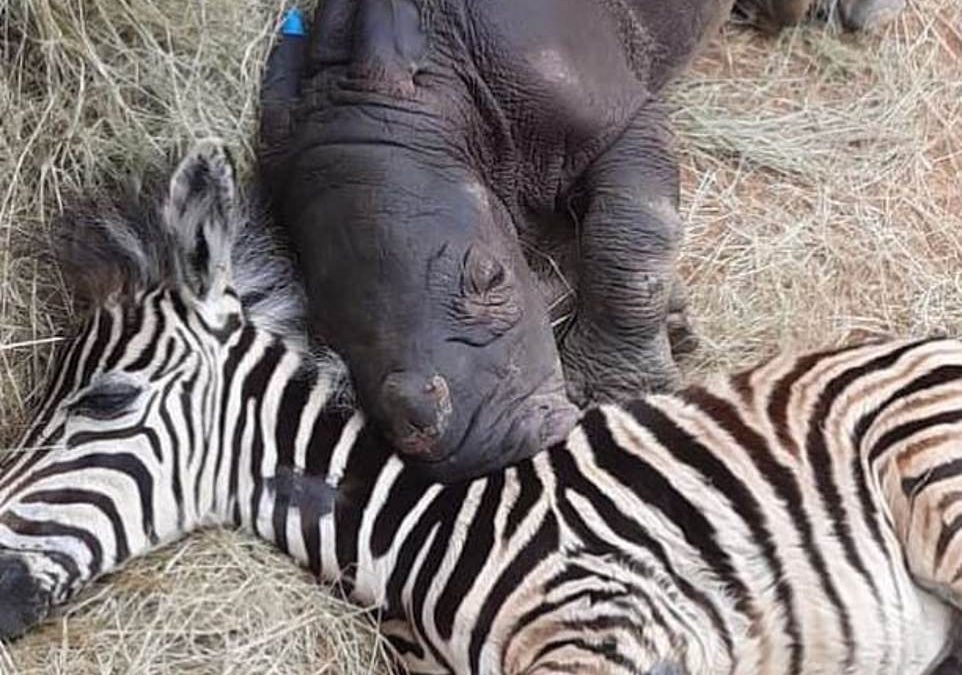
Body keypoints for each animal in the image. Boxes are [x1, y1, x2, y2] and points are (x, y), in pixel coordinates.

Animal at [259, 0, 732, 482]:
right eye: (322, 336)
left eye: (491, 278)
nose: (482, 450)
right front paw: (675, 323)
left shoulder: (620, 121)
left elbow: (632, 240)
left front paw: (617, 394)